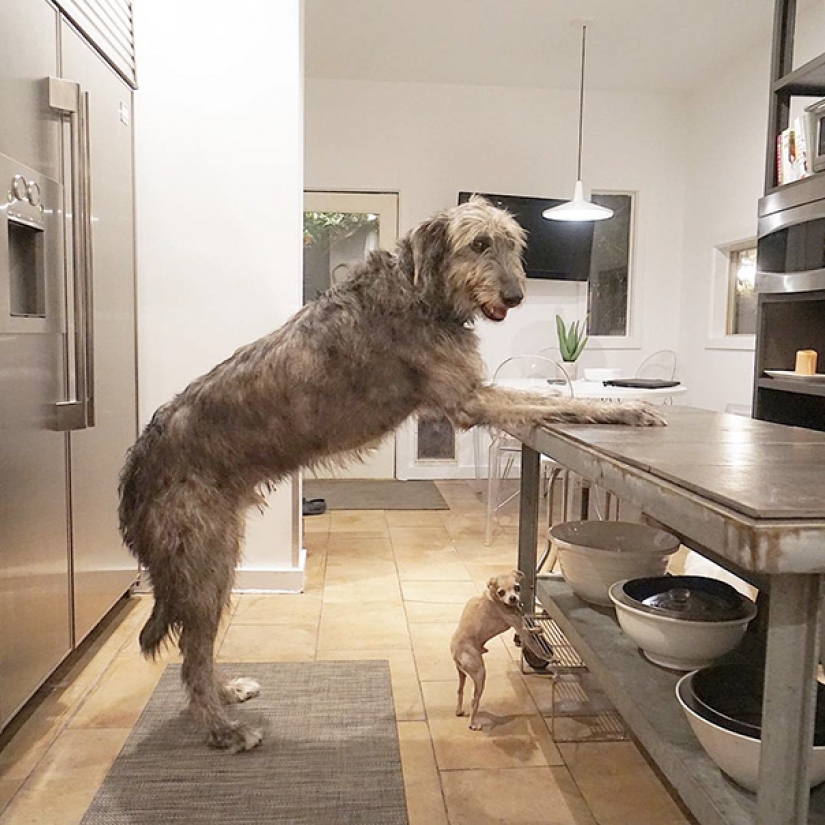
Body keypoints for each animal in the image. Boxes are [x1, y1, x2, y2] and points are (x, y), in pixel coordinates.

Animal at [120, 196, 664, 748]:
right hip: (203, 562)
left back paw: (227, 691)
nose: (514, 296)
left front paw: (621, 405)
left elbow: (549, 400)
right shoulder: (470, 400)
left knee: (200, 651)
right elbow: (552, 401)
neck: (420, 288)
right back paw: (224, 731)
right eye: (479, 244)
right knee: (191, 658)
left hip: (219, 558)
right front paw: (626, 409)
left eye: (512, 244)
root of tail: (139, 460)